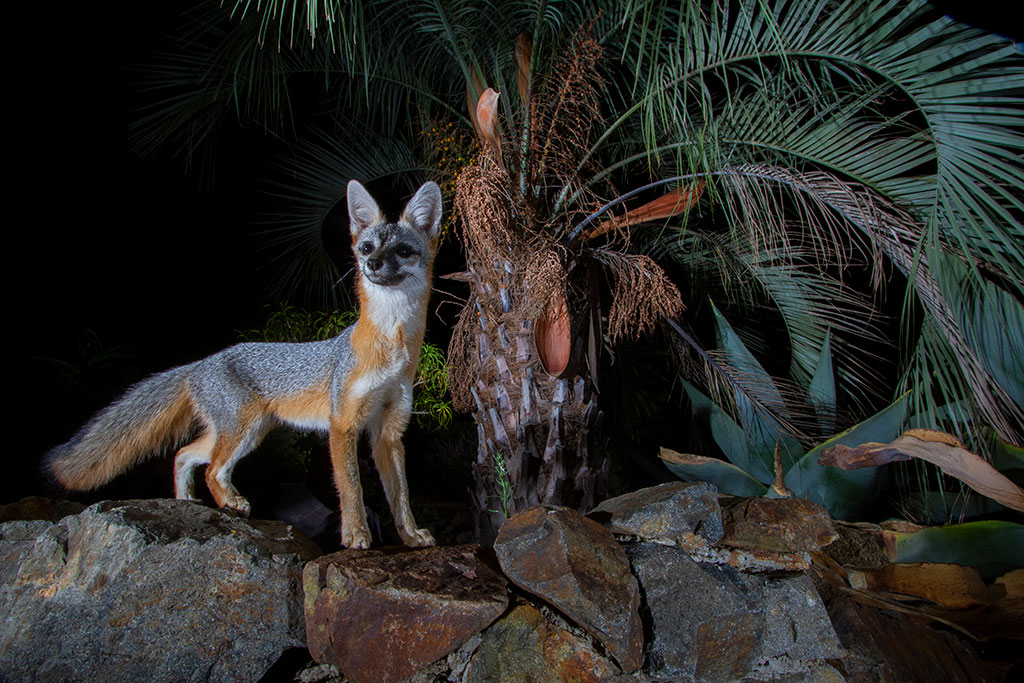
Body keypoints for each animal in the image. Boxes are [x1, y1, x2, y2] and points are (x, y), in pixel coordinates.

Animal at [46, 179, 442, 548]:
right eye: (366, 247)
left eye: (402, 250)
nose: (371, 263)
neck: (392, 347)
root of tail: (200, 362)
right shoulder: (342, 424)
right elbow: (352, 488)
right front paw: (356, 534)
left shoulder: (389, 431)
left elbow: (401, 495)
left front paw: (410, 535)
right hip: (242, 432)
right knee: (212, 469)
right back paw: (230, 503)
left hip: (246, 433)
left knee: (185, 455)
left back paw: (187, 502)